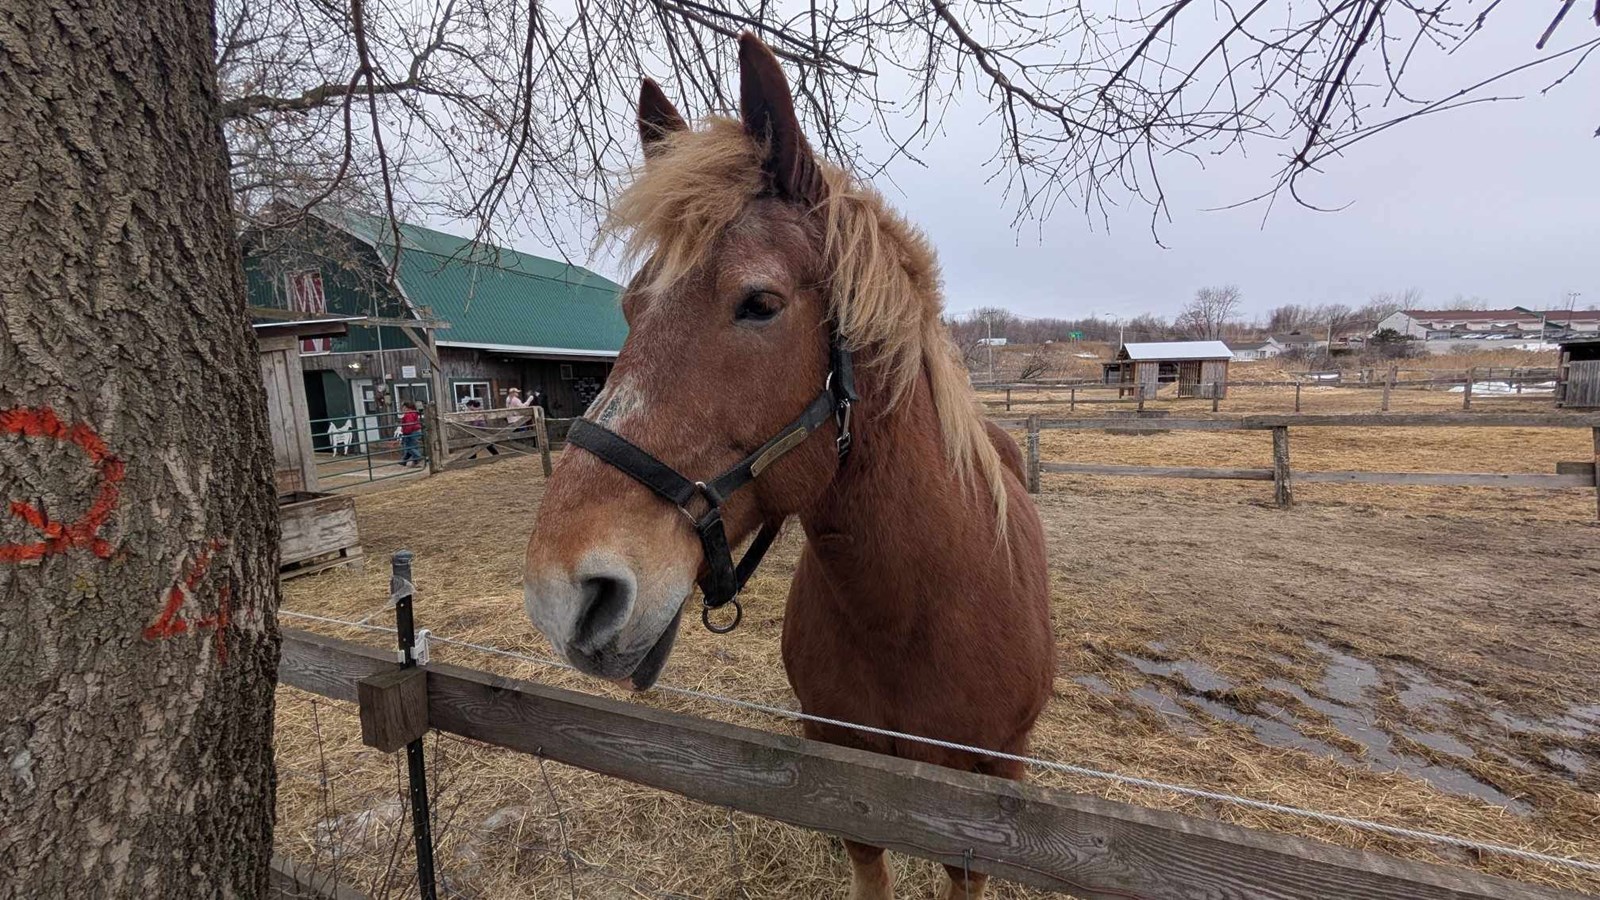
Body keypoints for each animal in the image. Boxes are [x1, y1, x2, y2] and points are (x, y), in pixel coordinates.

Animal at [522, 34, 1053, 900]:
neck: (912, 616)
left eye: (760, 304)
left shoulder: (988, 798)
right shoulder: (844, 778)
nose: (561, 594)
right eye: (630, 308)